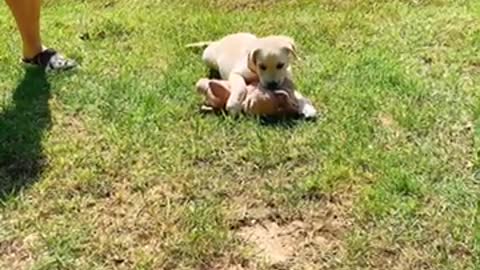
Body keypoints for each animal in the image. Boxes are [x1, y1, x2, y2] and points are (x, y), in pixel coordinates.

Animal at [188, 32, 318, 118]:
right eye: (262, 66)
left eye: (280, 65)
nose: (272, 85)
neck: (256, 72)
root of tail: (219, 41)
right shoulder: (236, 74)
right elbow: (241, 87)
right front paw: (234, 104)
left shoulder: (286, 80)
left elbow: (297, 94)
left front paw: (307, 106)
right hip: (208, 58)